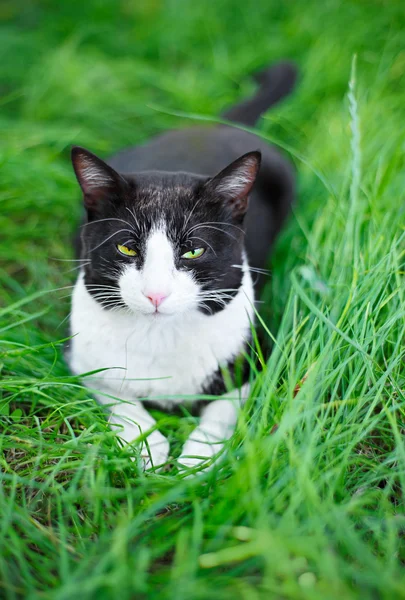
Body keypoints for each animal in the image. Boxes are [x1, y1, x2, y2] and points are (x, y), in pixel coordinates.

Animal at [64, 62, 296, 474]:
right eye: (127, 247)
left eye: (193, 251)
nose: (156, 294)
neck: (159, 335)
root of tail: (214, 125)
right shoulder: (83, 359)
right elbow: (119, 396)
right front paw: (148, 448)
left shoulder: (255, 355)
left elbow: (223, 407)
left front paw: (197, 459)